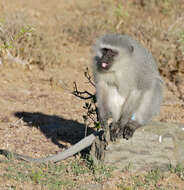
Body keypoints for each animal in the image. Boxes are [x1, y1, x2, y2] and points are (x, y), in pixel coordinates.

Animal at [0, 33, 162, 163]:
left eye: (112, 52)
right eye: (104, 50)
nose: (103, 58)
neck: (121, 65)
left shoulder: (141, 68)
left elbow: (138, 90)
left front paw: (122, 124)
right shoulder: (98, 66)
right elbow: (102, 88)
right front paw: (104, 123)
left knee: (154, 85)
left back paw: (133, 124)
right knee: (111, 87)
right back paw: (112, 124)